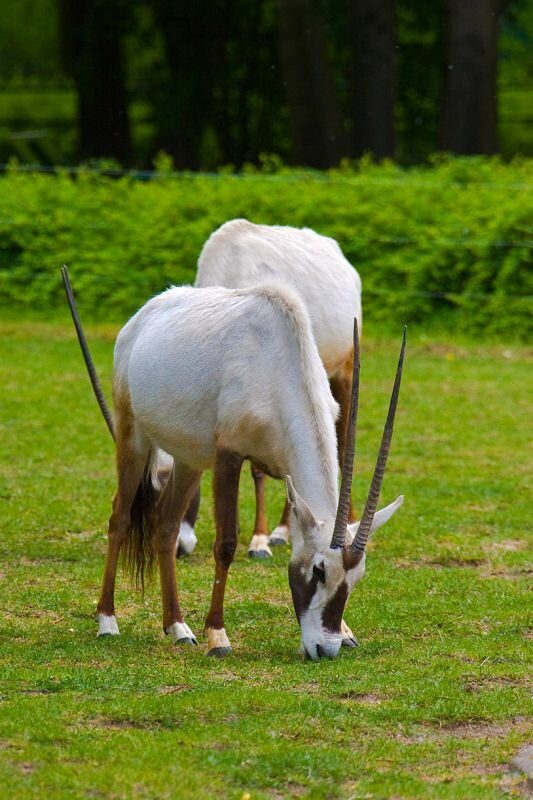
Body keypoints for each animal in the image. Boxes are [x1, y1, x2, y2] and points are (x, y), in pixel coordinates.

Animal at [63, 266, 404, 660]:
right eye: (318, 570)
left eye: (355, 576)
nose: (325, 648)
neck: (278, 361)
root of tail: (142, 317)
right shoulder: (229, 455)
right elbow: (226, 543)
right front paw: (218, 636)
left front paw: (347, 632)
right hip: (133, 435)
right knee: (120, 517)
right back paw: (108, 621)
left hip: (189, 458)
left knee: (166, 523)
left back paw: (178, 627)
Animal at [179, 216, 362, 560]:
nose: (180, 545)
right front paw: (263, 535)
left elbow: (258, 471)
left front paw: (259, 541)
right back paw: (283, 531)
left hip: (343, 372)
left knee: (342, 445)